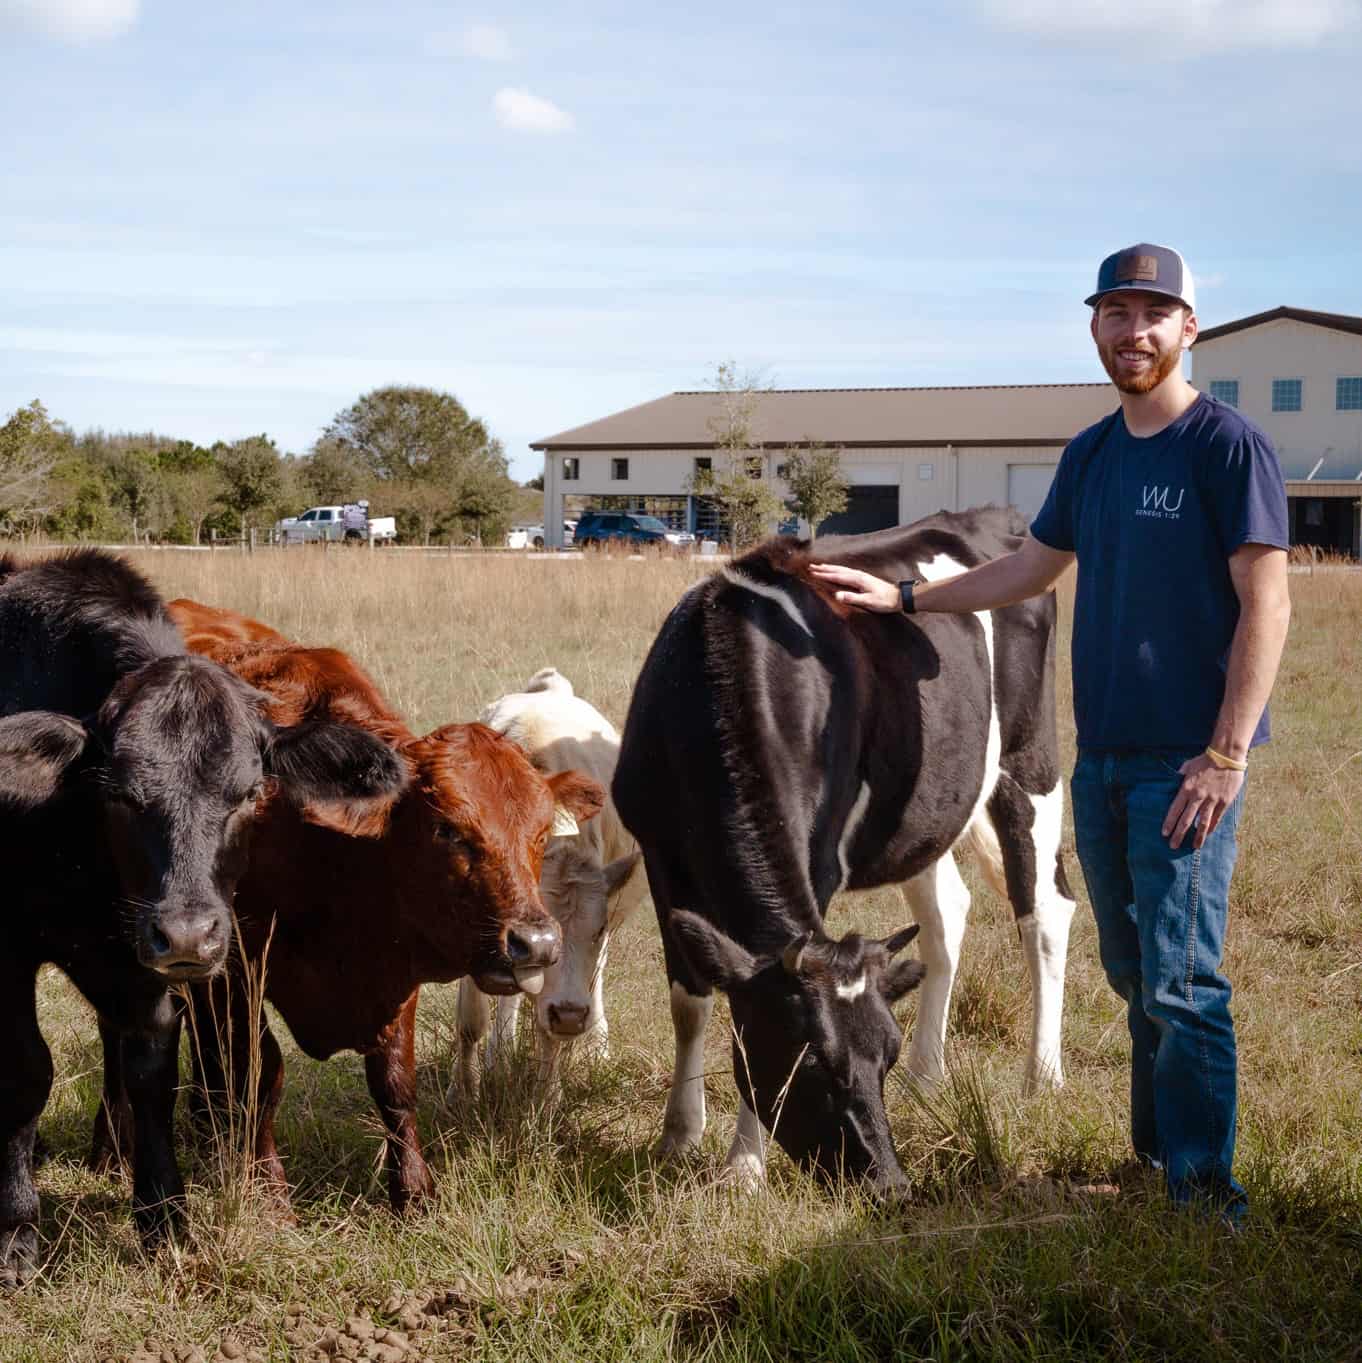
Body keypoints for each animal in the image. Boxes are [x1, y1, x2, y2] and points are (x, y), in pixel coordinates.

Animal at [0, 547, 403, 1281]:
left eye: (248, 793)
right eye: (120, 793)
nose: (188, 933)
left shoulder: (143, 961)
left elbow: (151, 1067)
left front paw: (163, 1215)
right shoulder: (9, 944)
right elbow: (25, 1073)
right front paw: (15, 1231)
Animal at [94, 607, 602, 1215]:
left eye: (543, 832)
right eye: (447, 829)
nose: (536, 943)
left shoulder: (394, 974)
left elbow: (395, 1083)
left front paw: (412, 1191)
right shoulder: (235, 969)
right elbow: (258, 1075)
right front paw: (267, 1190)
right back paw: (116, 1146)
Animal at [449, 670, 646, 1106]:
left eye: (598, 930)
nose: (571, 1015)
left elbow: (547, 1026)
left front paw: (547, 1097)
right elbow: (471, 1020)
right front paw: (463, 1090)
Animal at [616, 509, 1074, 1193]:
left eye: (880, 1059)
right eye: (811, 1064)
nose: (889, 1184)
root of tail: (995, 517)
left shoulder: (820, 860)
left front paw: (744, 1168)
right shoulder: (659, 854)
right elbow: (690, 1003)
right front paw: (679, 1135)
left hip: (1030, 763)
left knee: (1044, 913)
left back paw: (1041, 1077)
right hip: (924, 808)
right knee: (949, 913)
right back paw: (929, 1076)